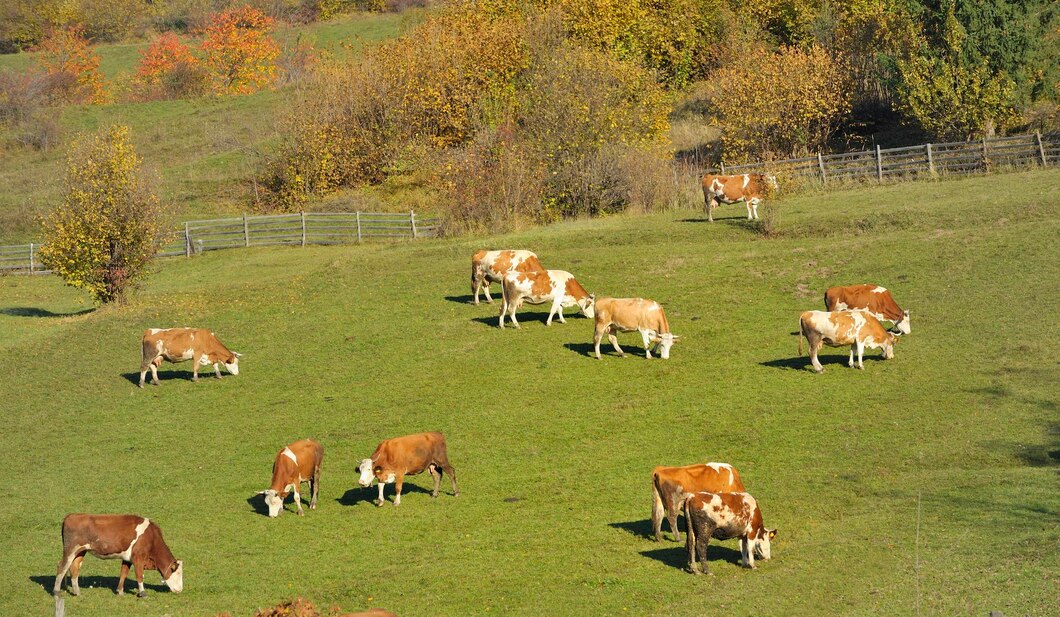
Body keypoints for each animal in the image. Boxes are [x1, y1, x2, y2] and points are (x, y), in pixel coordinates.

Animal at [54, 515, 184, 602]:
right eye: (177, 573)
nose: (180, 590)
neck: (152, 538)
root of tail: (70, 516)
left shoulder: (127, 558)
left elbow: (123, 573)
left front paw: (120, 591)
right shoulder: (138, 557)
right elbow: (139, 575)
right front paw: (143, 593)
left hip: (80, 551)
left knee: (74, 568)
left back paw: (77, 592)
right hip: (70, 549)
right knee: (62, 567)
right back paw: (56, 592)